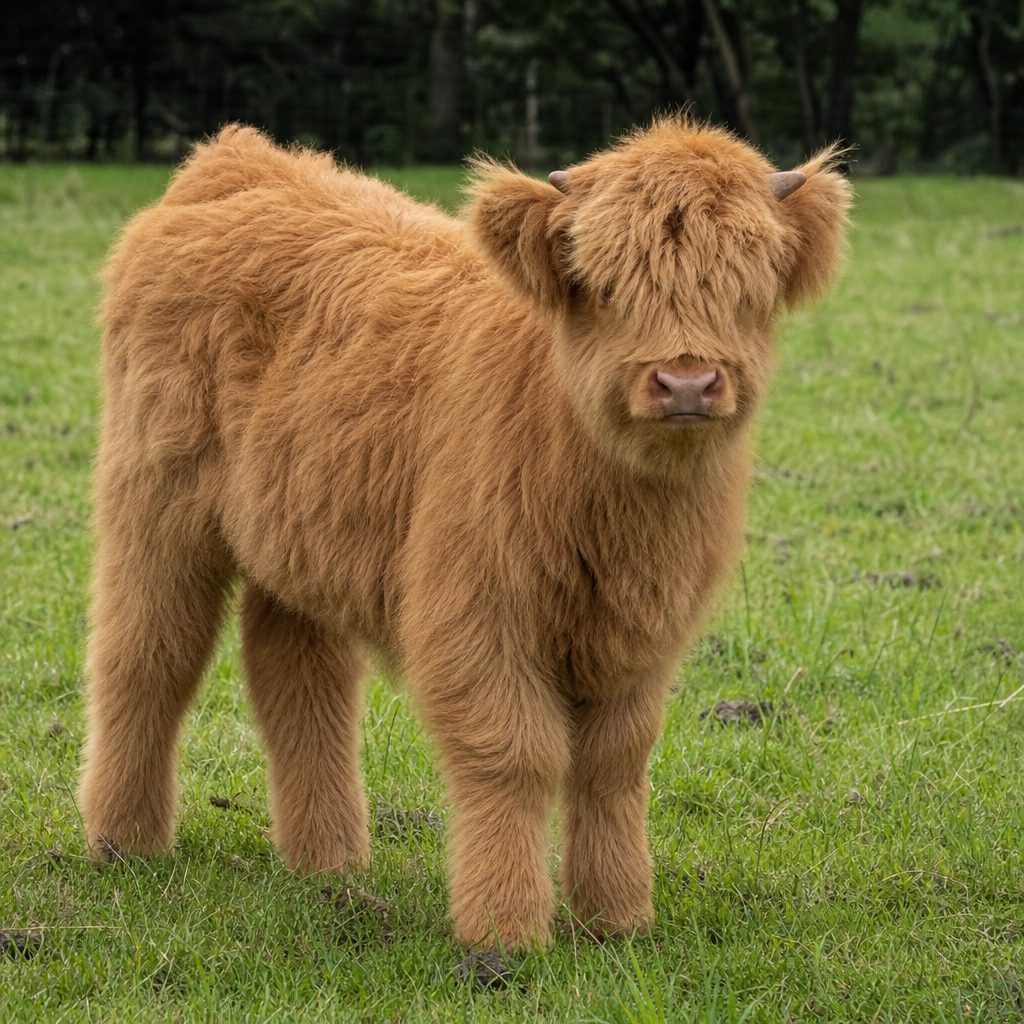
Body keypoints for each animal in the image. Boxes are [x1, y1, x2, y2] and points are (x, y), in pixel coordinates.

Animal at [79, 118, 850, 950]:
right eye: (604, 286)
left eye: (748, 289)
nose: (686, 382)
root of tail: (238, 157)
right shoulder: (476, 609)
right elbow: (513, 753)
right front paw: (504, 932)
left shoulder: (644, 627)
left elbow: (613, 759)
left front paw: (616, 918)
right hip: (155, 503)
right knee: (147, 655)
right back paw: (125, 842)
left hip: (297, 530)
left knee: (300, 678)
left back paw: (330, 862)